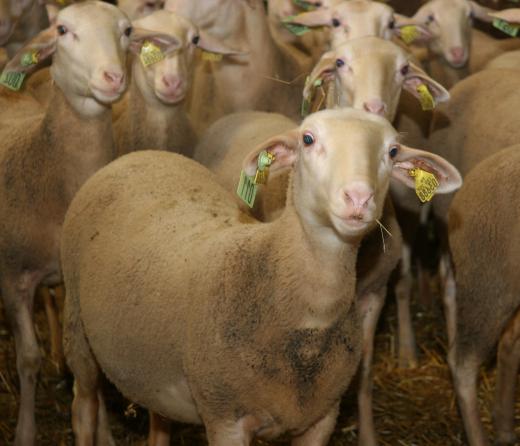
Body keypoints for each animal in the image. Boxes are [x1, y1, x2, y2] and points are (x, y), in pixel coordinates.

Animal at [0, 2, 132, 442]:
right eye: (62, 30)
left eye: (127, 30)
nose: (113, 77)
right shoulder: (12, 278)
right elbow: (27, 358)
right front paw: (24, 432)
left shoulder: (79, 286)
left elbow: (90, 371)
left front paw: (105, 433)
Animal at [62, 108, 464, 446]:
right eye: (308, 139)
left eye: (392, 151)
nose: (358, 198)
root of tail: (141, 156)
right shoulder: (226, 419)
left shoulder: (321, 418)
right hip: (77, 330)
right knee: (83, 407)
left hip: (153, 361)